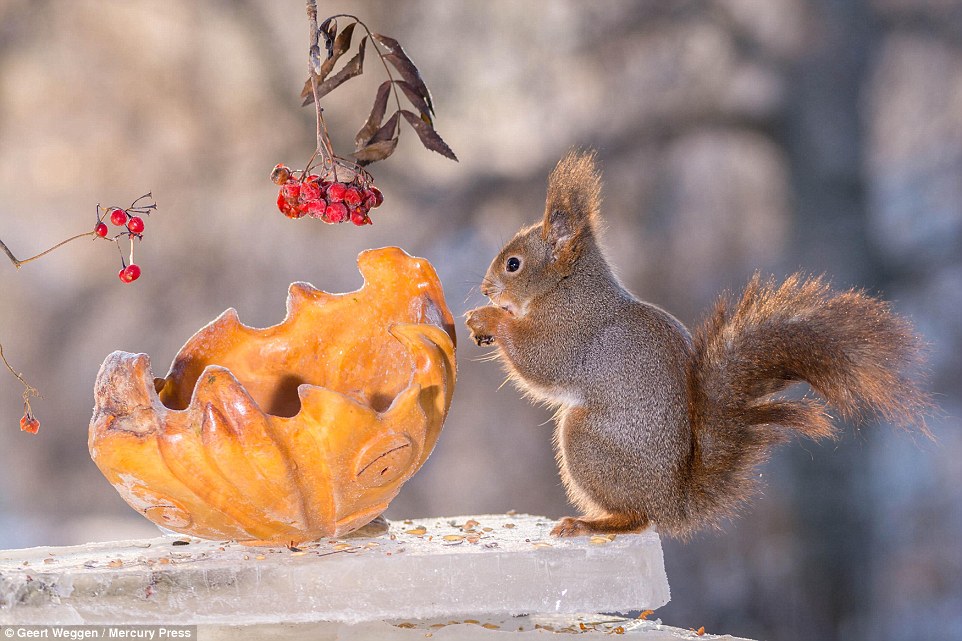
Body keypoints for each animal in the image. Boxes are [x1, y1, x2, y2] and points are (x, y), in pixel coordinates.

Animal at [464, 152, 928, 536]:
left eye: (513, 264)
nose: (485, 290)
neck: (566, 286)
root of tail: (672, 502)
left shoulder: (571, 330)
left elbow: (540, 362)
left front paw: (488, 318)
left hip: (585, 440)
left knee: (636, 517)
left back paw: (591, 522)